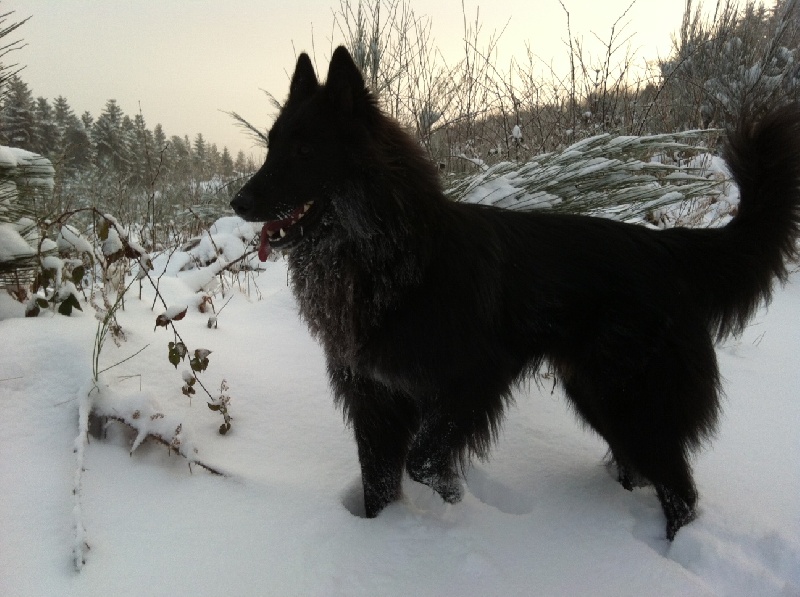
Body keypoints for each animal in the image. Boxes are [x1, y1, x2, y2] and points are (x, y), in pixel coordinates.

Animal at [231, 47, 800, 540]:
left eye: (304, 150)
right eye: (271, 147)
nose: (238, 202)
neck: (391, 257)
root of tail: (665, 246)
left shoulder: (471, 382)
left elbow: (423, 461)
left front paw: (451, 500)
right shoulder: (374, 402)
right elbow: (380, 484)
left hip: (632, 402)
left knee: (680, 491)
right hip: (596, 395)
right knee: (642, 471)